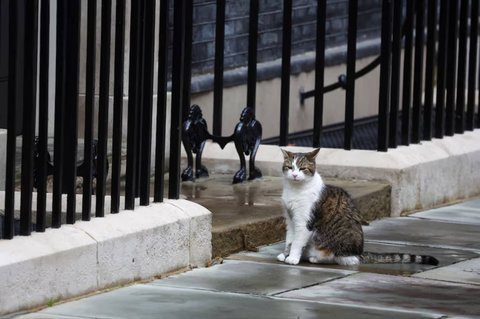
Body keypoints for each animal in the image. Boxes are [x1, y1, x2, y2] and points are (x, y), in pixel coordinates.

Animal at [278, 149, 438, 268]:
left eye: (303, 168)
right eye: (290, 167)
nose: (294, 174)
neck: (295, 189)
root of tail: (359, 253)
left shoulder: (304, 221)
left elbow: (297, 242)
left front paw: (292, 257)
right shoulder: (290, 219)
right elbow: (289, 239)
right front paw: (285, 254)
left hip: (334, 245)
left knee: (343, 259)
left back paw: (316, 258)